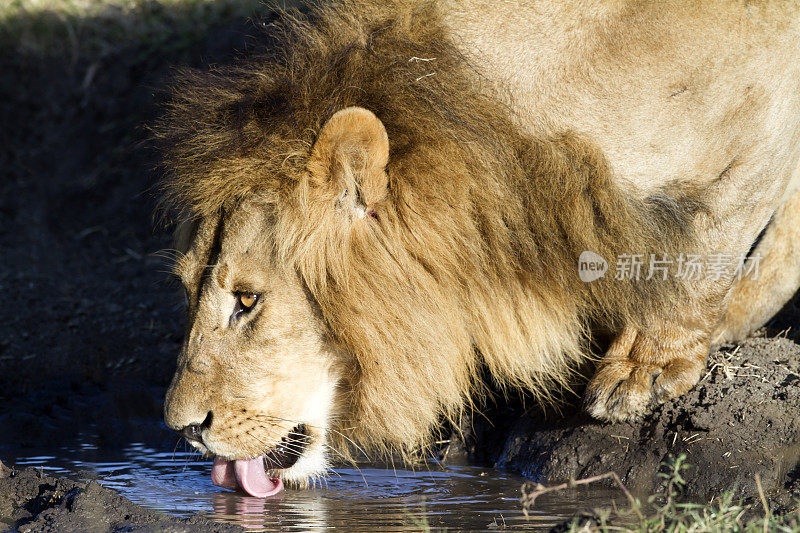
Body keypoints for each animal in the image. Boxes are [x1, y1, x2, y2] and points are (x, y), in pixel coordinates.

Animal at [158, 0, 800, 494]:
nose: (182, 428)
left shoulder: (763, 106)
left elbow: (713, 236)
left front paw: (648, 367)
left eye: (248, 300)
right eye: (187, 287)